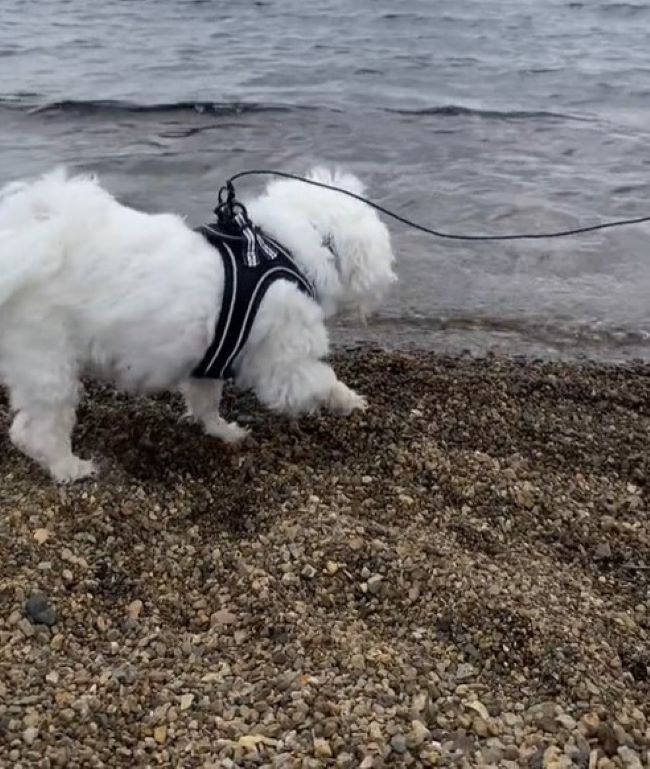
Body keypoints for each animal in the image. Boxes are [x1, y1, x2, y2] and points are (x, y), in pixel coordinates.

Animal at [0, 167, 394, 480]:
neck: (284, 249)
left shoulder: (209, 361)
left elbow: (206, 403)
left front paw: (222, 431)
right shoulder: (285, 368)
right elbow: (323, 381)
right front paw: (350, 400)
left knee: (24, 428)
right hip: (49, 366)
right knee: (39, 430)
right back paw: (69, 467)